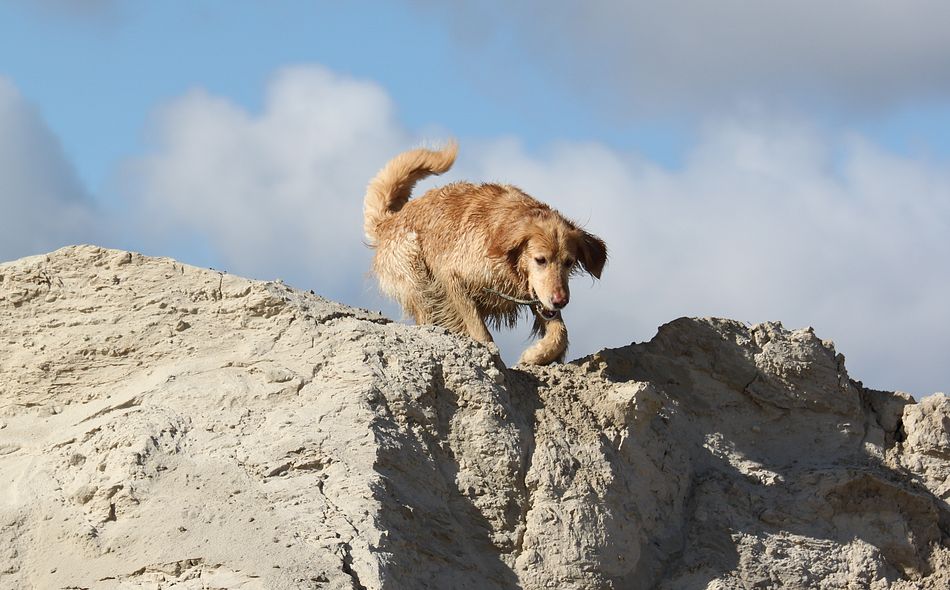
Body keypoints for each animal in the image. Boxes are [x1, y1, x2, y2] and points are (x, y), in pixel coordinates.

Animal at [363, 142, 607, 365]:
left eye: (569, 262)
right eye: (540, 260)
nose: (560, 301)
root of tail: (388, 221)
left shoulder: (534, 295)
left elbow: (560, 332)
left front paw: (537, 354)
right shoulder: (452, 276)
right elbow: (480, 330)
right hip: (416, 273)